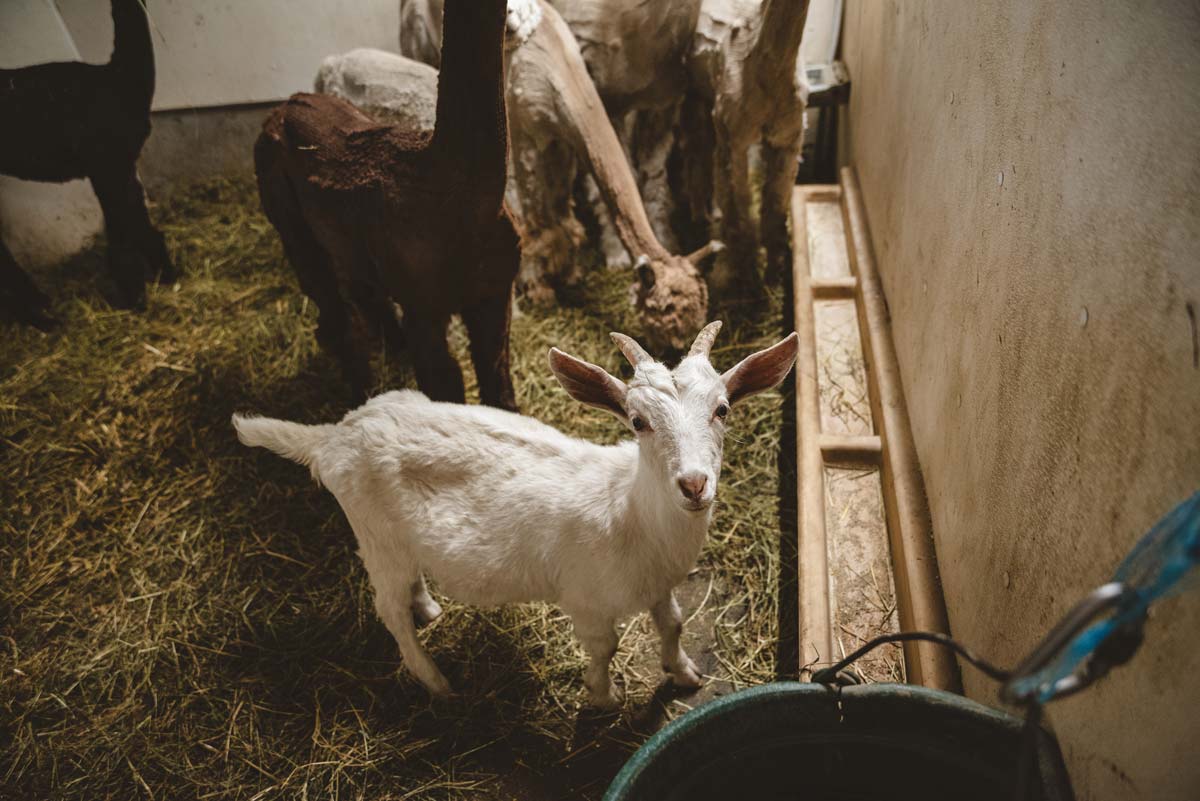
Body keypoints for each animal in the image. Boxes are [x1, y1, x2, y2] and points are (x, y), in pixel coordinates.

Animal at [0, 0, 174, 328]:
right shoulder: (105, 165)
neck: (119, 79)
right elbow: (123, 238)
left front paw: (167, 276)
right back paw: (41, 317)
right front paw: (136, 298)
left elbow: (141, 225)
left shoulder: (124, 163)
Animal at [233, 321, 798, 707]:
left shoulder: (659, 583)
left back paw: (429, 609)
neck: (630, 514)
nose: (694, 484)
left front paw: (684, 674)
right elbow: (605, 648)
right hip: (376, 539)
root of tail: (332, 436)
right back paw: (436, 681)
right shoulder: (586, 602)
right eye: (638, 421)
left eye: (722, 409)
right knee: (388, 610)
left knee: (409, 587)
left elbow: (675, 624)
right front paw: (603, 698)